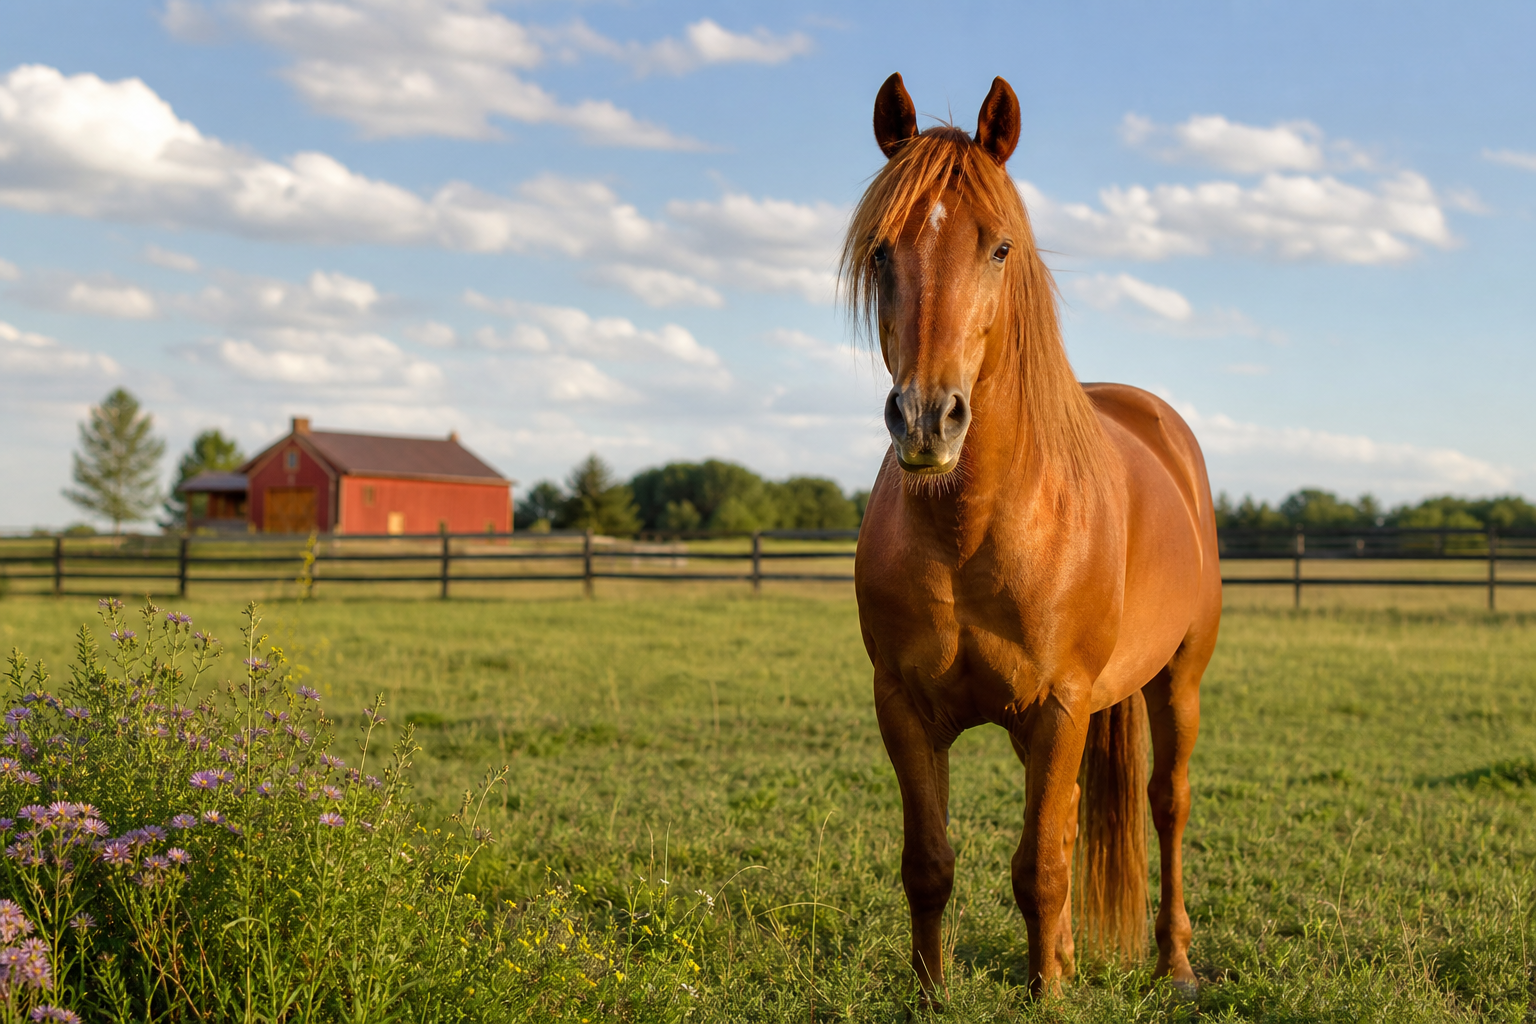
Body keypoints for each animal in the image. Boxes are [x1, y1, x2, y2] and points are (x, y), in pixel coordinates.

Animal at [845, 73, 1221, 1000]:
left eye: (1000, 248)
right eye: (881, 250)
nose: (927, 418)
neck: (972, 527)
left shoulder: (1059, 706)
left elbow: (1040, 869)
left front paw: (1047, 993)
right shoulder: (904, 707)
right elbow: (932, 864)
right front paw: (935, 994)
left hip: (1177, 682)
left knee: (1167, 804)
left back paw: (1174, 963)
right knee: (1076, 818)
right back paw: (1073, 955)